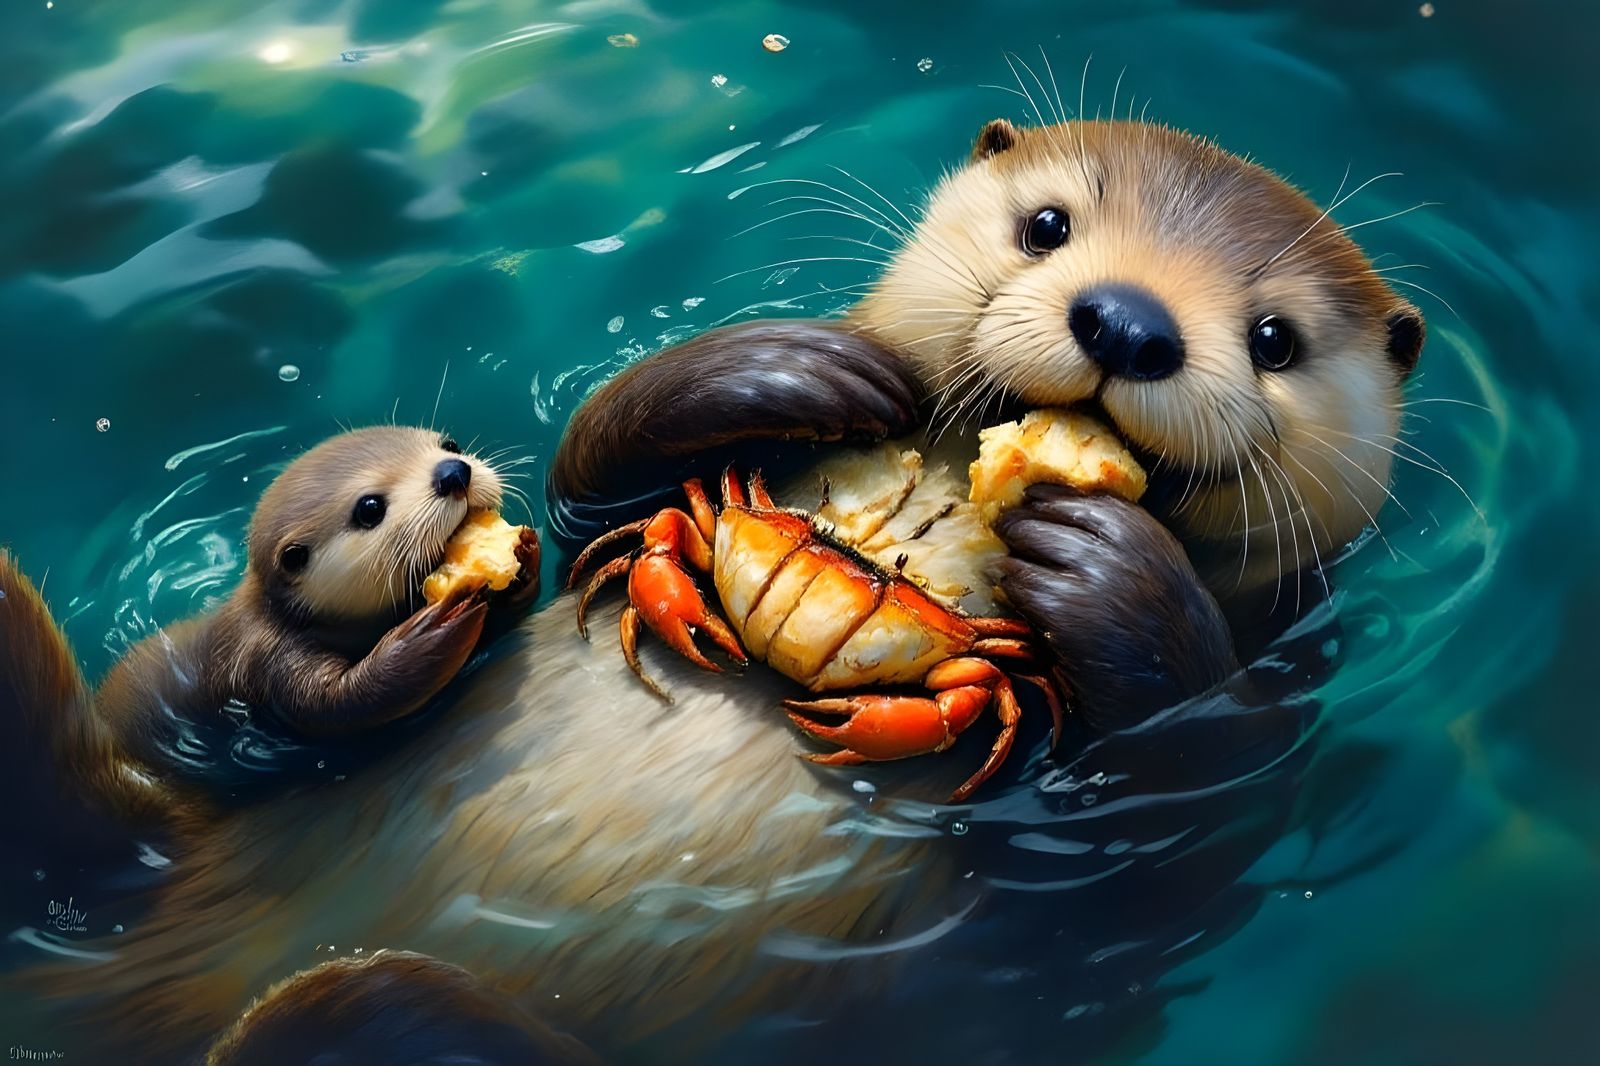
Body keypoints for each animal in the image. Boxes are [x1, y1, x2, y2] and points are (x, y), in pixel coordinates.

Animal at [1, 118, 1422, 1063]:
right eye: (1047, 225)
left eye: (1276, 338)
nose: (1126, 321)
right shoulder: (658, 517)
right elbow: (606, 512)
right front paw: (782, 368)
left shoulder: (1277, 705)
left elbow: (1179, 837)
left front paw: (1105, 564)